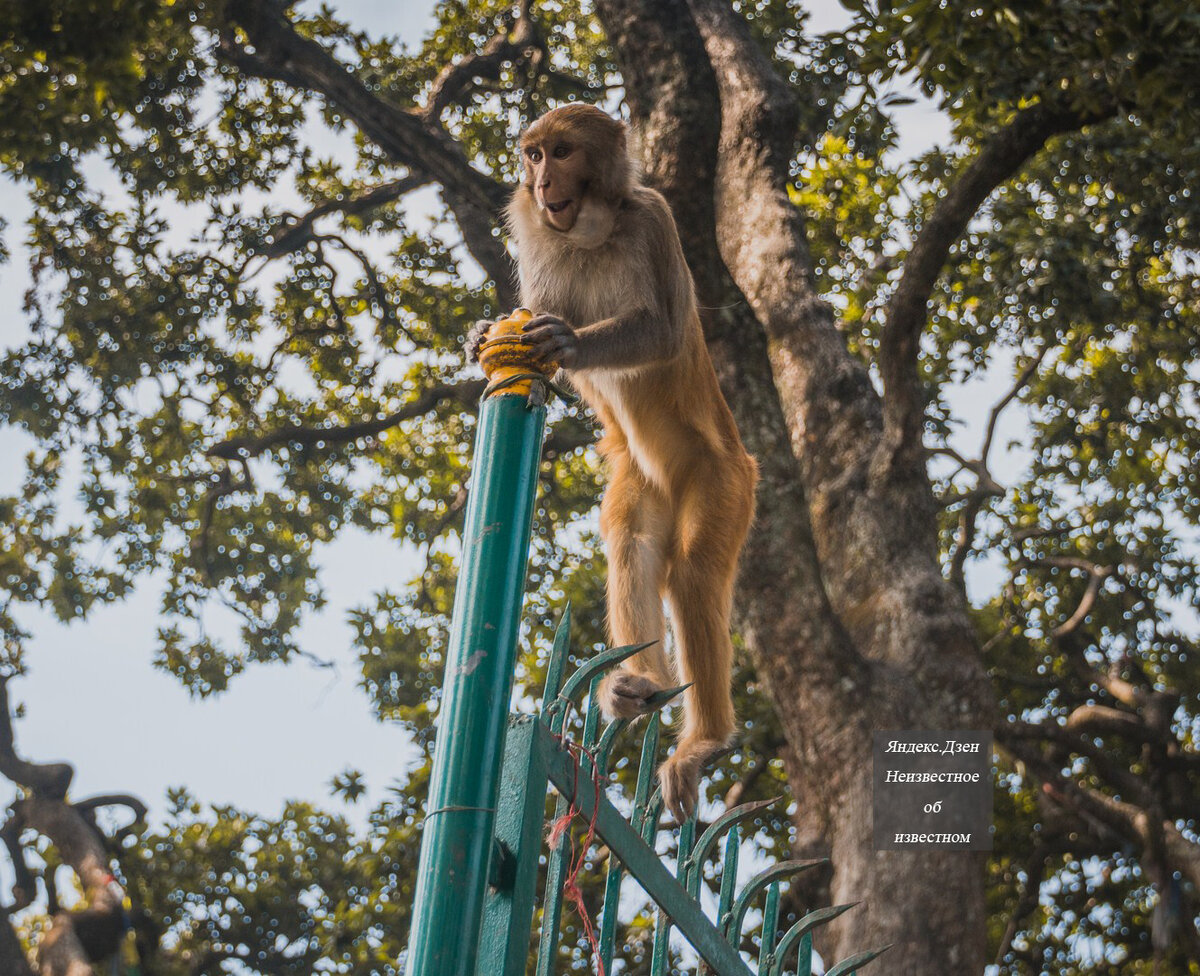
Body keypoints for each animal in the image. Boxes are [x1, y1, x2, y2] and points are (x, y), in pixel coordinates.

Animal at [465, 104, 753, 821]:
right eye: (533, 154)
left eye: (563, 151)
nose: (542, 182)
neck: (592, 233)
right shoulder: (533, 236)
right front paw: (482, 334)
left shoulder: (653, 219)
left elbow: (664, 330)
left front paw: (565, 340)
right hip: (639, 478)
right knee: (632, 543)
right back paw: (637, 683)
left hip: (725, 483)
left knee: (694, 573)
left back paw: (704, 741)